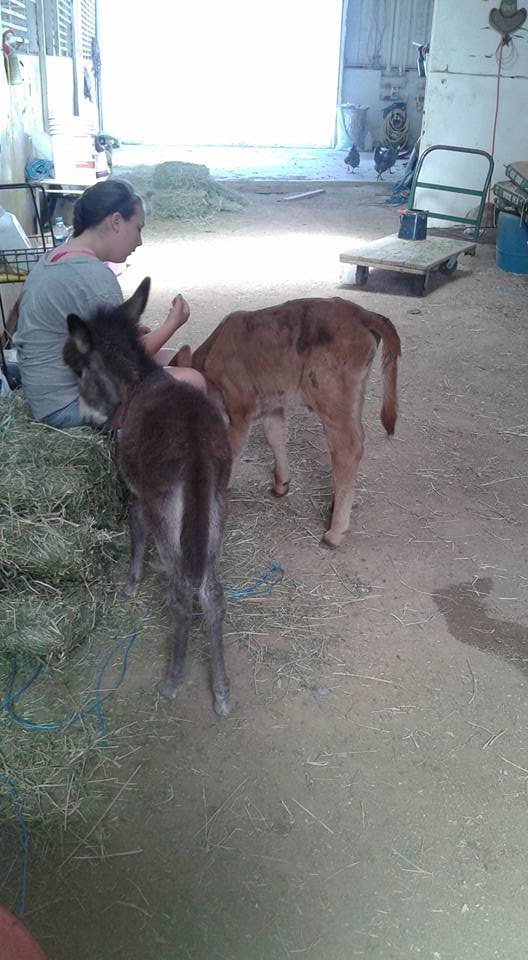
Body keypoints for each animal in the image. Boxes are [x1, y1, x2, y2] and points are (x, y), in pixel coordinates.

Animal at [63, 276, 232, 712]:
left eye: (79, 370)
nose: (90, 421)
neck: (139, 382)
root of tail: (195, 443)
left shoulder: (137, 491)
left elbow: (135, 530)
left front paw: (131, 582)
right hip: (215, 504)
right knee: (211, 592)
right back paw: (222, 691)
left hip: (165, 506)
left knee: (181, 591)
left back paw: (172, 680)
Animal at [186, 296, 400, 544]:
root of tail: (360, 312)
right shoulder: (271, 405)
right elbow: (275, 436)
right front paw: (281, 485)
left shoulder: (240, 408)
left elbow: (234, 449)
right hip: (351, 399)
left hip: (332, 396)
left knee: (348, 448)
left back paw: (335, 532)